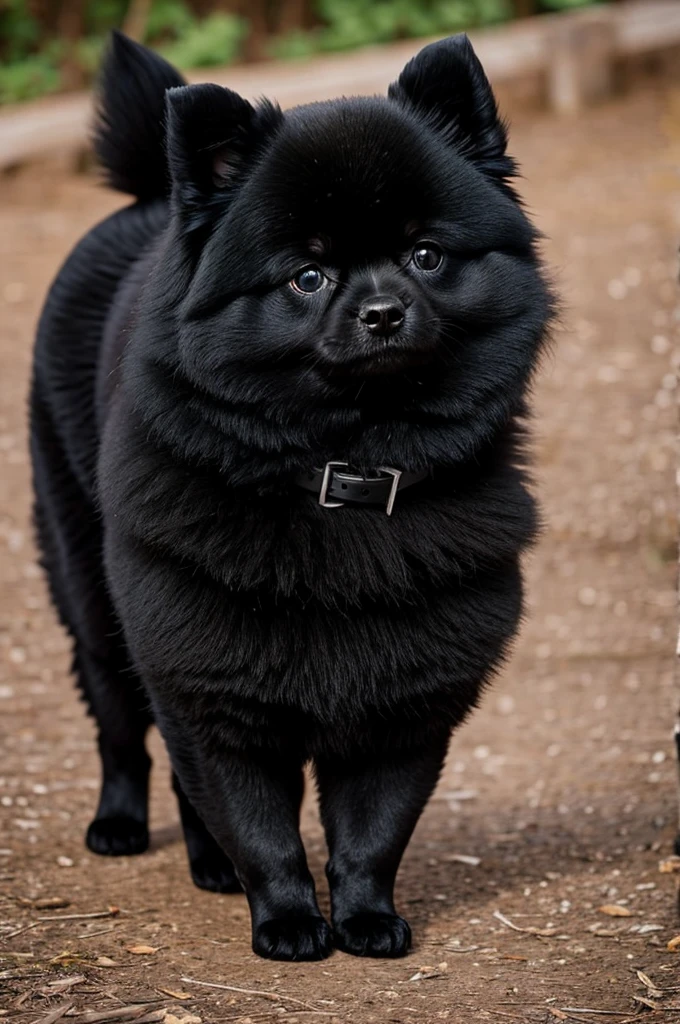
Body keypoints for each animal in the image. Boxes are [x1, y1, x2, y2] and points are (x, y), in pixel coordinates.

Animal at [30, 32, 553, 958]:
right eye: (307, 276)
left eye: (426, 255)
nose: (383, 312)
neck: (343, 465)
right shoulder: (206, 670)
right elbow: (258, 821)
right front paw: (285, 918)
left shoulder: (406, 695)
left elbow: (374, 826)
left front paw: (366, 918)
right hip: (92, 595)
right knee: (122, 727)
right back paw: (120, 825)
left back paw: (208, 865)